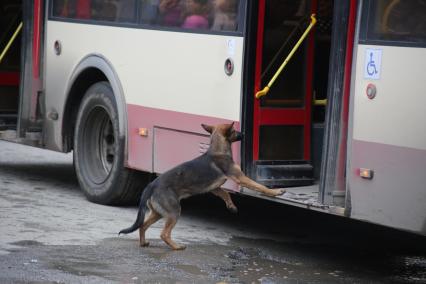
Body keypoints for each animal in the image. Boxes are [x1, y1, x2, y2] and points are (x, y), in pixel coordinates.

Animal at [119, 123, 286, 250]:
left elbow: (226, 194)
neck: (217, 149)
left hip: (158, 213)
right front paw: (275, 191)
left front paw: (231, 206)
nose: (243, 133)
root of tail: (151, 186)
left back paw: (144, 243)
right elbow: (260, 187)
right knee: (163, 234)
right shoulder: (241, 178)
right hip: (173, 211)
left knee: (142, 225)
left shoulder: (215, 188)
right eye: (234, 131)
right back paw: (176, 246)